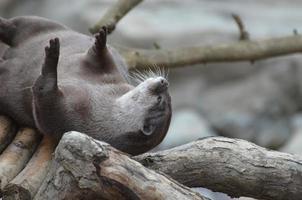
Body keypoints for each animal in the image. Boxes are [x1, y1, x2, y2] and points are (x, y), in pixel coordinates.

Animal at [0, 16, 171, 155]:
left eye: (160, 99)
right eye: (167, 96)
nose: (165, 82)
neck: (96, 101)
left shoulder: (67, 120)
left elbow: (44, 102)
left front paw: (51, 63)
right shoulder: (114, 76)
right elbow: (100, 59)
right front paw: (100, 41)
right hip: (41, 24)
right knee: (16, 25)